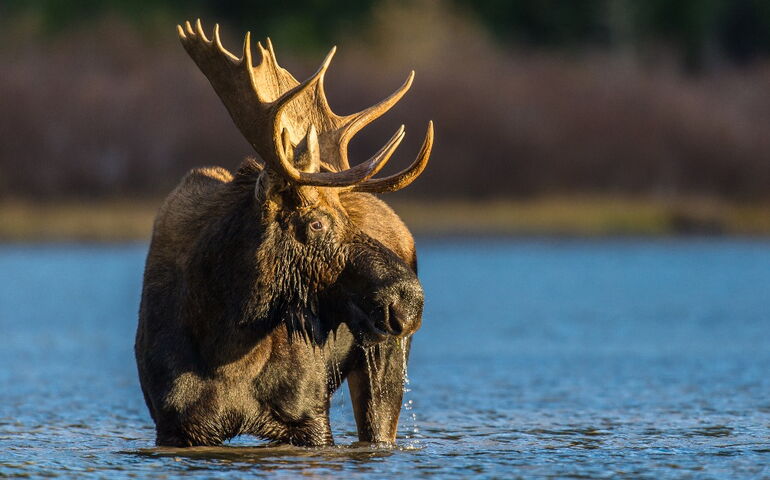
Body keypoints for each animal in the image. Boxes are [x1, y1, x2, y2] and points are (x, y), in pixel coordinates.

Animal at [135, 19, 434, 447]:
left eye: (347, 217)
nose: (409, 299)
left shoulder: (309, 417)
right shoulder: (174, 425)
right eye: (316, 222)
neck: (227, 342)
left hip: (385, 357)